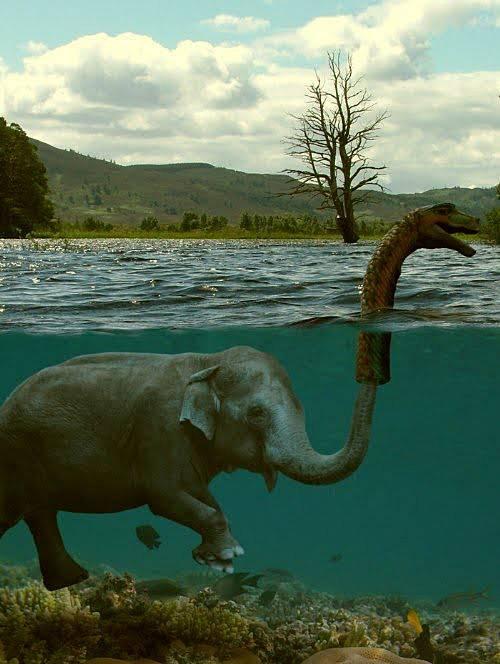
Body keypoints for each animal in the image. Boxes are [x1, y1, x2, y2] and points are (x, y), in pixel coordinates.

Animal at [0, 346, 374, 590]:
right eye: (256, 413)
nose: (371, 372)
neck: (208, 364)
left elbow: (201, 494)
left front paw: (214, 559)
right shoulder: (159, 430)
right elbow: (164, 497)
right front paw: (227, 557)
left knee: (41, 515)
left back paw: (72, 581)